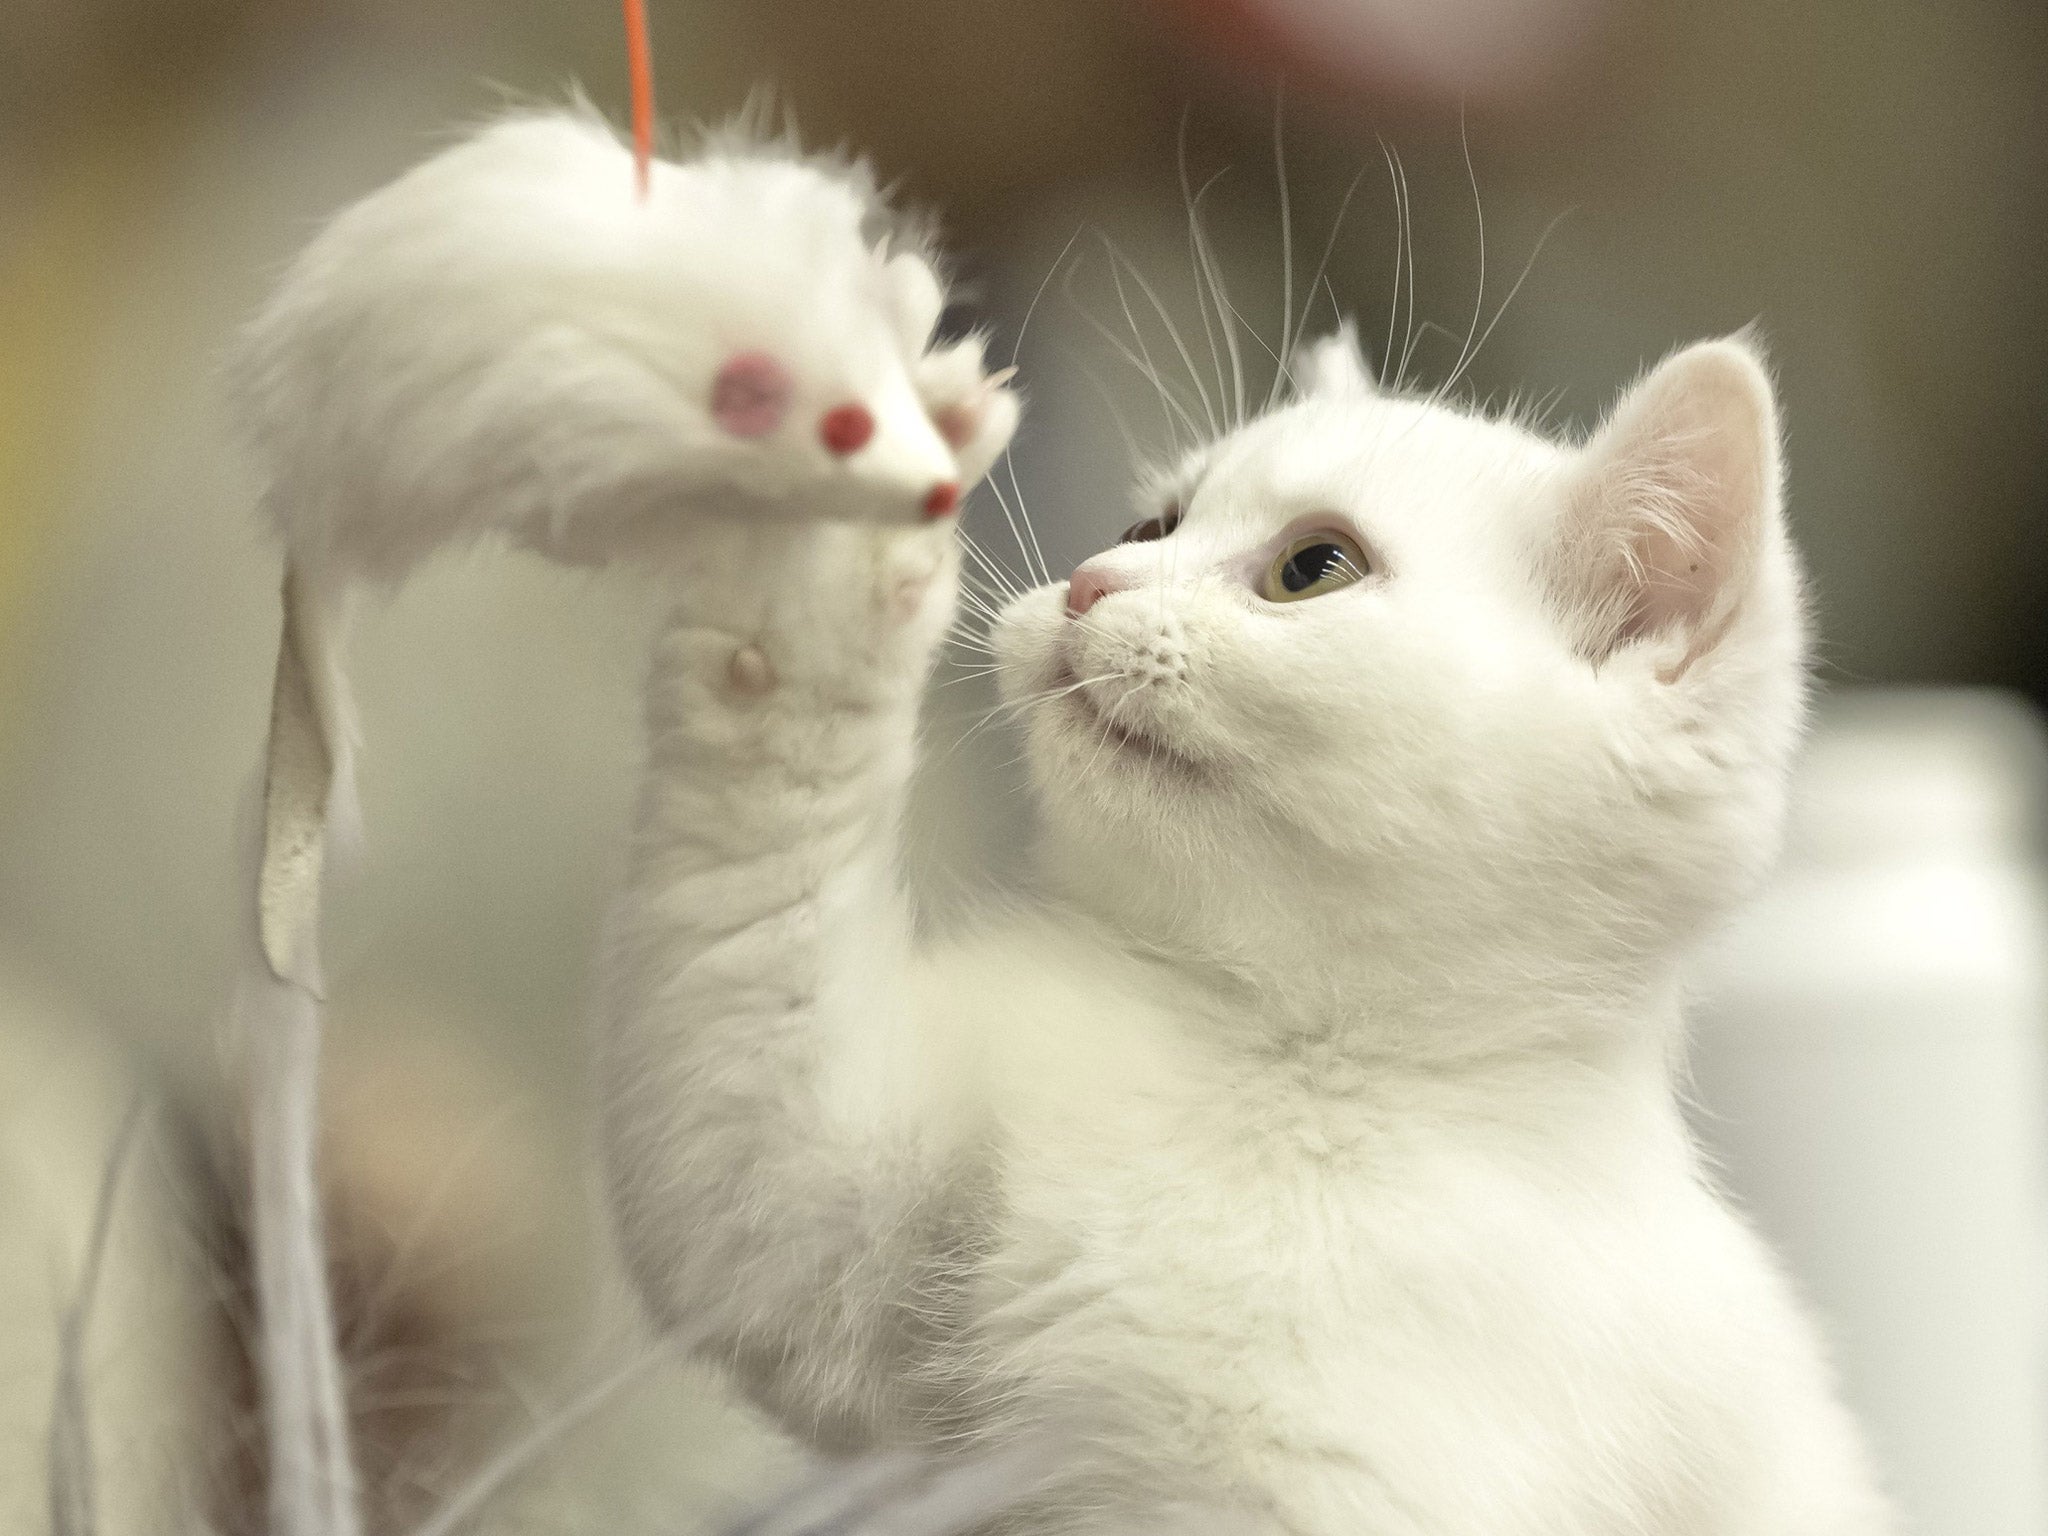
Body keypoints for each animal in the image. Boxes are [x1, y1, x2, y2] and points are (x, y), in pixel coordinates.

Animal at [598, 321, 1892, 1531]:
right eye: (1151, 520)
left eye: (1312, 566)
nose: (1090, 580)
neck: (1270, 1058)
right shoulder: (812, 1234)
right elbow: (739, 1084)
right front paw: (824, 517)